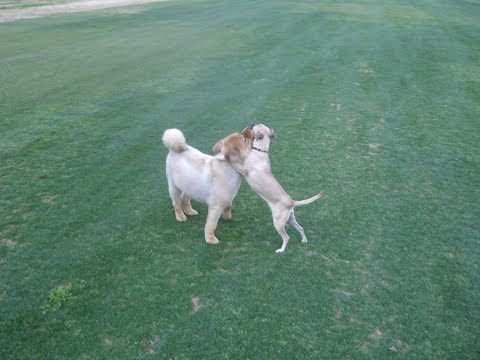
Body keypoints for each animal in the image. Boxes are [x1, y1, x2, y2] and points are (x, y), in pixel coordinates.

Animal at [213, 124, 322, 253]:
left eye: (253, 127)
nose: (250, 123)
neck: (261, 150)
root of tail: (291, 202)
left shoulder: (244, 168)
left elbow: (233, 160)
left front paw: (220, 156)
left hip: (278, 223)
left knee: (287, 237)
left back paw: (281, 250)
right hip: (290, 219)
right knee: (301, 228)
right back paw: (304, 240)